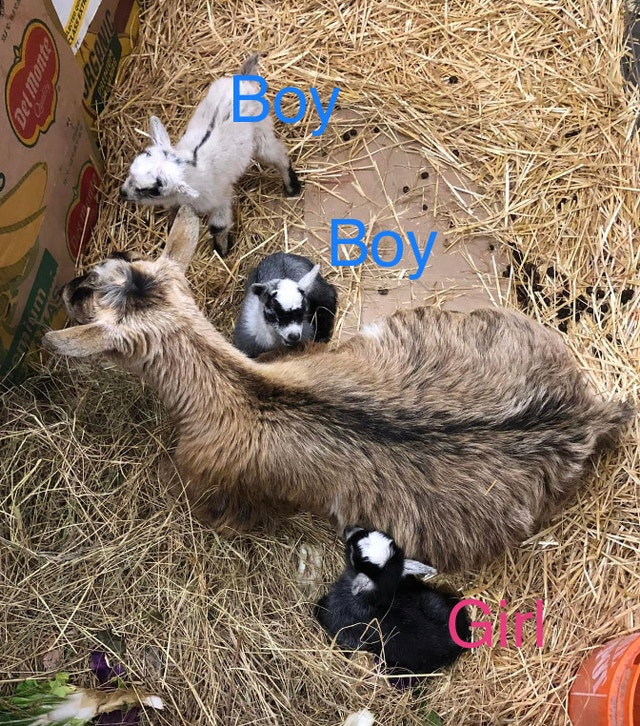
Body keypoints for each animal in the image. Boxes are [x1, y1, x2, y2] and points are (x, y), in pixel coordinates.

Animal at [120, 55, 300, 257]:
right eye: (131, 172)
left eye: (152, 190)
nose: (123, 193)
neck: (191, 166)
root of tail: (243, 80)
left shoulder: (220, 198)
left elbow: (217, 226)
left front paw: (222, 250)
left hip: (262, 134)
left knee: (278, 156)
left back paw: (292, 187)